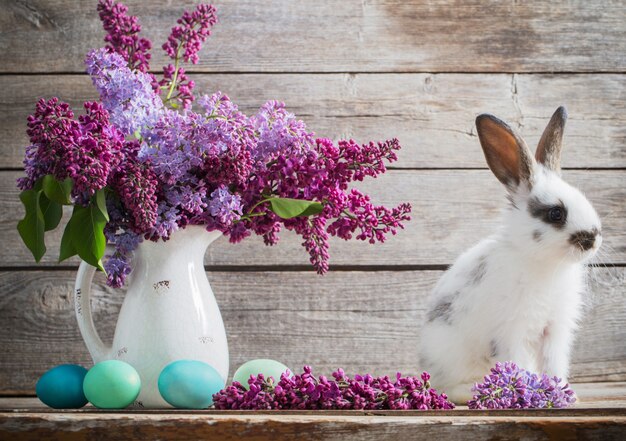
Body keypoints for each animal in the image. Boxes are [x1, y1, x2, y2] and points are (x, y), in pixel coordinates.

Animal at [420, 106, 600, 402]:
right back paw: (472, 392)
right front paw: (525, 396)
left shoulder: (554, 331)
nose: (593, 239)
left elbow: (553, 364)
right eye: (556, 213)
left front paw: (562, 395)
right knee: (449, 388)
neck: (545, 264)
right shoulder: (513, 331)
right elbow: (519, 364)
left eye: (584, 198)